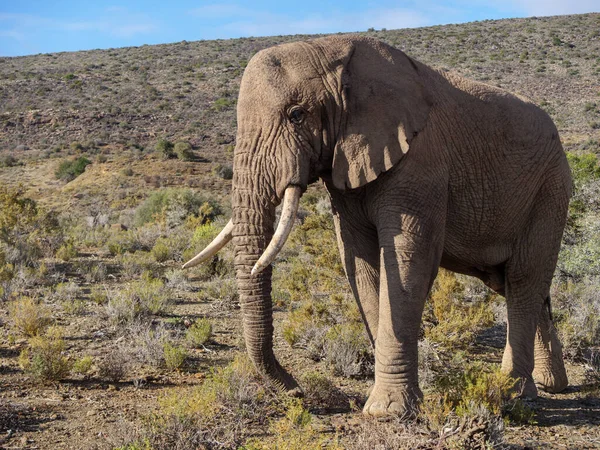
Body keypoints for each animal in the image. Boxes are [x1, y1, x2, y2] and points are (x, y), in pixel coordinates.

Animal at [184, 35, 572, 418]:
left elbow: (407, 260)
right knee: (513, 284)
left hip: (550, 189)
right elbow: (360, 261)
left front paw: (386, 413)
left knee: (524, 278)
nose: (296, 390)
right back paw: (551, 385)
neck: (333, 51)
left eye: (296, 114)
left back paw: (513, 393)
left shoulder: (420, 160)